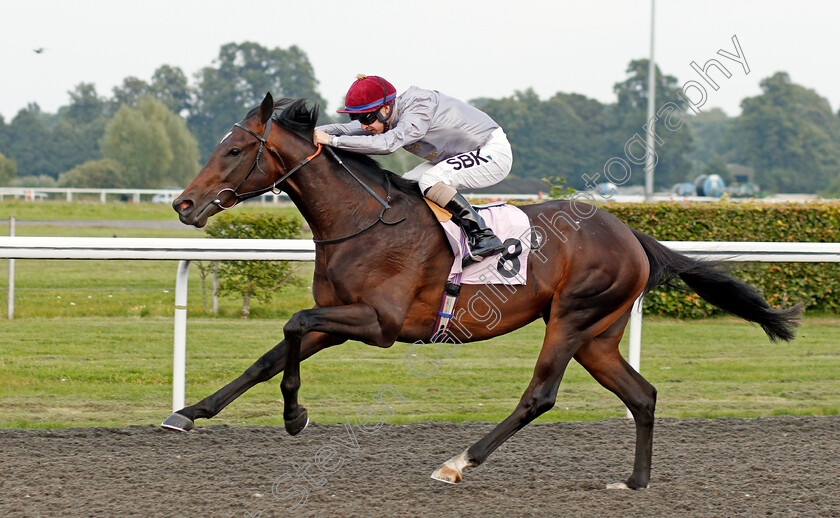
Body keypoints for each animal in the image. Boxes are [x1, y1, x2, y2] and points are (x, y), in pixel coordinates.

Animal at [166, 94, 800, 492]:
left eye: (233, 150)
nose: (182, 204)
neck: (362, 221)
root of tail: (629, 233)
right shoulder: (341, 316)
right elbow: (269, 355)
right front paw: (188, 413)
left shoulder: (380, 323)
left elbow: (292, 324)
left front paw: (295, 415)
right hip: (598, 336)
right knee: (642, 395)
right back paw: (635, 481)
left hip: (571, 318)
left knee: (539, 396)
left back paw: (458, 464)